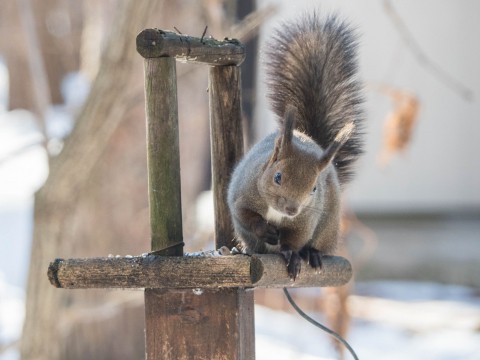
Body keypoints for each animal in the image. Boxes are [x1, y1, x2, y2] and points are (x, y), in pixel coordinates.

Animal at [227, 12, 366, 280]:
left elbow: (295, 238)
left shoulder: (305, 219)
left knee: (317, 242)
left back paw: (312, 254)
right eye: (277, 177)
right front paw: (265, 230)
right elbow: (246, 215)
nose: (292, 209)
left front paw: (291, 254)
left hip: (328, 225)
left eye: (314, 188)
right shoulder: (244, 194)